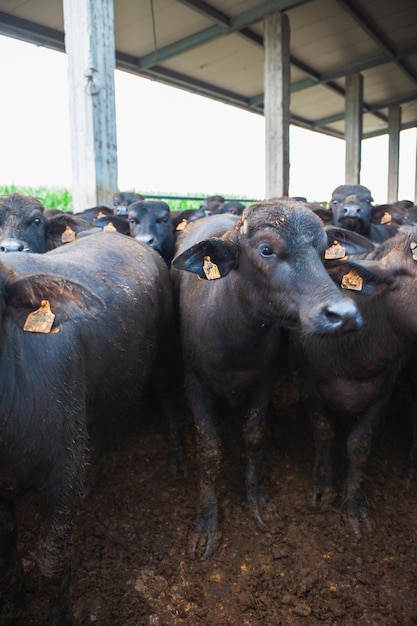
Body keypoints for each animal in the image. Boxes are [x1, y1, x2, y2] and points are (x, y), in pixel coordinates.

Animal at [169, 199, 360, 556]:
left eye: (322, 251)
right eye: (266, 250)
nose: (343, 315)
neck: (235, 340)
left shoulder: (263, 380)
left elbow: (253, 435)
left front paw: (257, 499)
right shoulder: (194, 384)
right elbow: (210, 450)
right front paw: (206, 522)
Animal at [290, 224, 417, 536]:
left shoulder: (383, 390)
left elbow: (360, 444)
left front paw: (355, 506)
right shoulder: (308, 383)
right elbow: (324, 431)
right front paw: (323, 489)